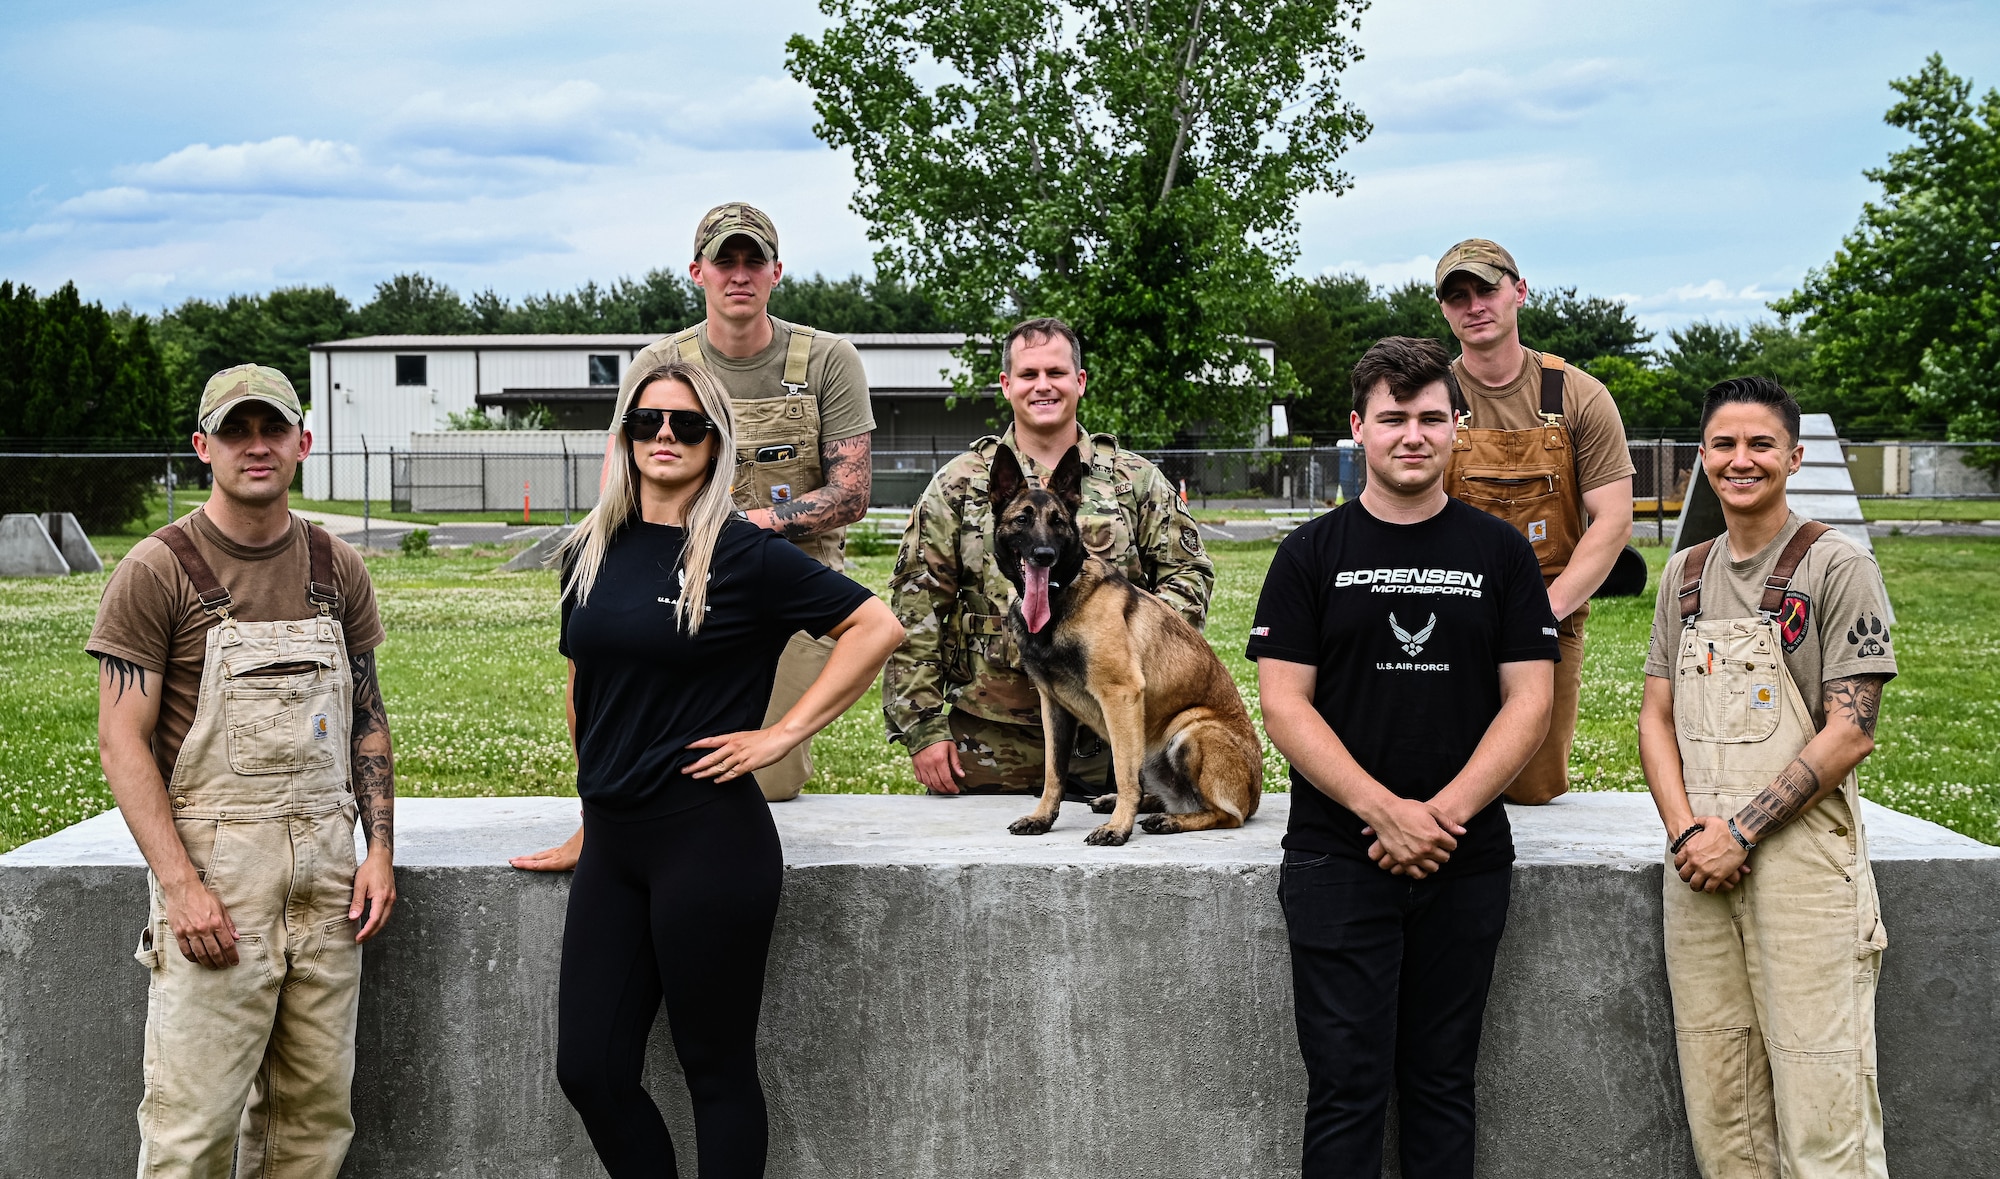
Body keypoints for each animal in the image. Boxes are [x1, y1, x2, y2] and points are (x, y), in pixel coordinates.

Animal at [988, 447, 1256, 847]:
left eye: (1058, 522)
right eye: (1022, 519)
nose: (1044, 554)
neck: (1061, 598)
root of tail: (1255, 794)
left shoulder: (1120, 696)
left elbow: (1123, 771)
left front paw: (1119, 827)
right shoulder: (1053, 706)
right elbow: (1054, 772)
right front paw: (1042, 817)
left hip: (1191, 730)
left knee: (1226, 815)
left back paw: (1168, 820)